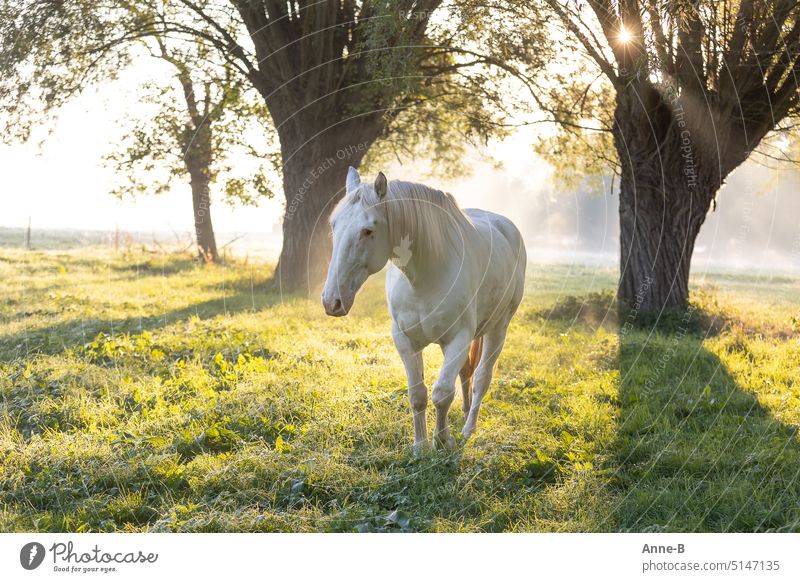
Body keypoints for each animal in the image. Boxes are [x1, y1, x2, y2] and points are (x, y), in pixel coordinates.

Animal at [322, 167, 528, 454]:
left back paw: (468, 428)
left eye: (367, 231)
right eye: (334, 225)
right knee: (466, 373)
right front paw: (420, 446)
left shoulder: (458, 340)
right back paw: (464, 413)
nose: (332, 301)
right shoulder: (405, 341)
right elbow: (417, 394)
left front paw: (443, 440)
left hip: (498, 329)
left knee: (481, 378)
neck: (424, 275)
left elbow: (442, 393)